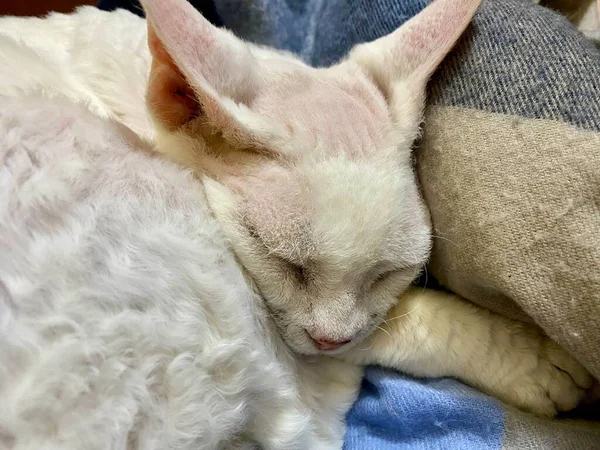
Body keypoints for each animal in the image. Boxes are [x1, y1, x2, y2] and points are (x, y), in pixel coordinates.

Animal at [0, 0, 592, 448]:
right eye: (284, 262)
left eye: (385, 273)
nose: (329, 336)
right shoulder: (290, 347)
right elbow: (402, 321)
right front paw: (535, 360)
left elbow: (385, 317)